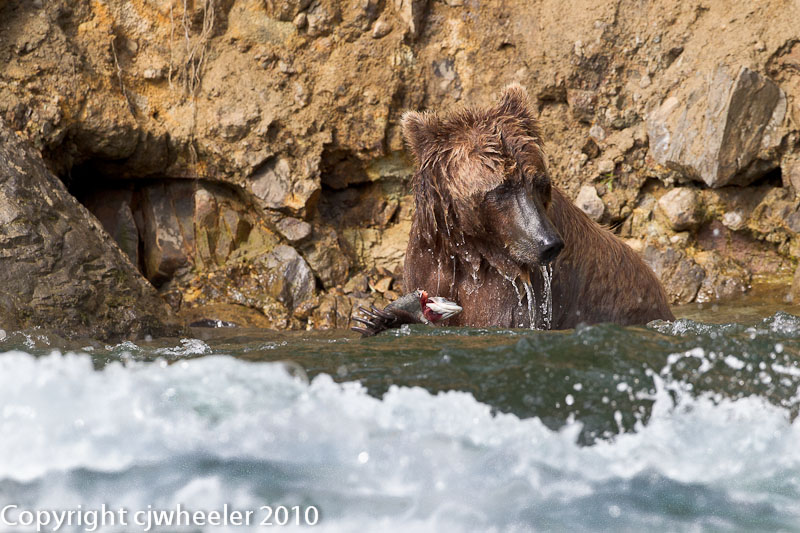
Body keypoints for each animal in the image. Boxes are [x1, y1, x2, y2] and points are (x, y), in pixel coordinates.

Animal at [390, 83, 672, 330]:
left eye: (539, 183)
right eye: (500, 188)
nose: (549, 244)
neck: (471, 252)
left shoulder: (514, 294)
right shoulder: (429, 267)